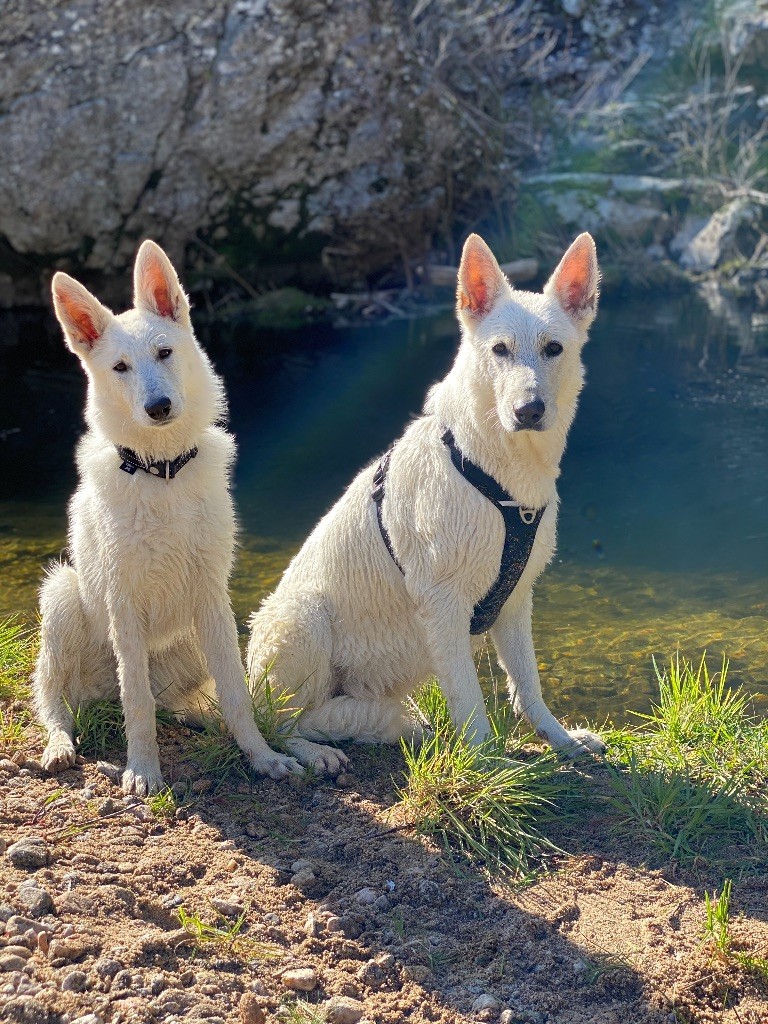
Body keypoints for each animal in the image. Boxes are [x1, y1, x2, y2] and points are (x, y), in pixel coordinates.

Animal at [33, 237, 331, 790]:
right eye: (120, 367)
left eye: (164, 353)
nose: (158, 407)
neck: (161, 471)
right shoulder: (123, 601)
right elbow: (137, 702)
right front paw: (143, 771)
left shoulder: (213, 595)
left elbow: (237, 695)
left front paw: (262, 757)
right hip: (62, 596)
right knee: (57, 702)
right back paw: (60, 745)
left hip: (190, 650)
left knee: (207, 708)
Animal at [246, 230, 606, 761]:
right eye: (500, 350)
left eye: (554, 348)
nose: (529, 410)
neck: (493, 472)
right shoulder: (443, 606)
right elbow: (470, 700)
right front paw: (487, 762)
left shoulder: (516, 600)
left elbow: (528, 684)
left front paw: (559, 739)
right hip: (301, 618)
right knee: (278, 720)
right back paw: (310, 753)